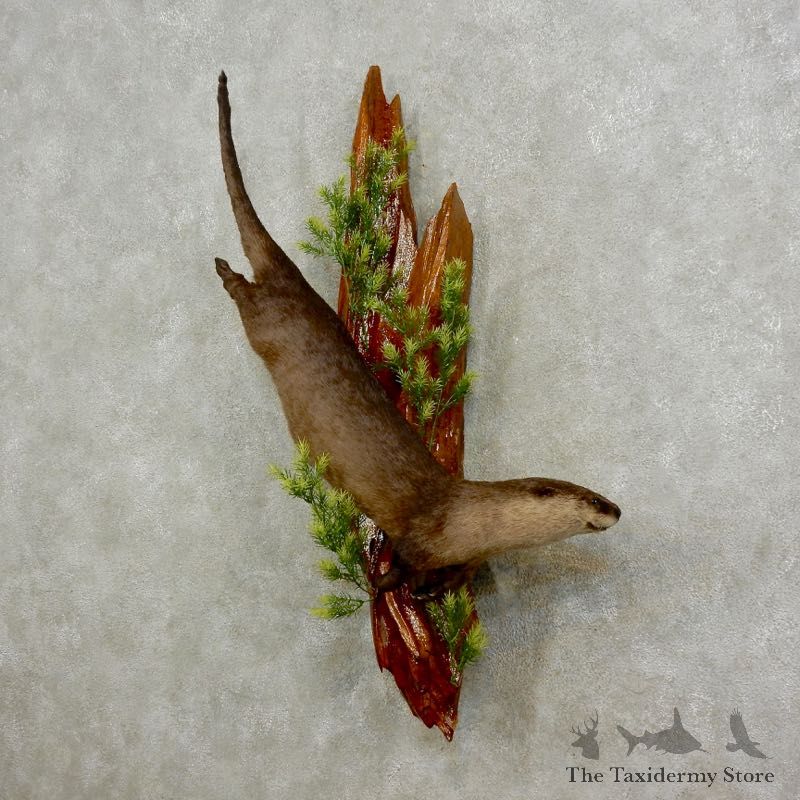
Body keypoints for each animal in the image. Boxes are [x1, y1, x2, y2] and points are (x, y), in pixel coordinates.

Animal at [213, 72, 620, 575]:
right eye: (593, 500)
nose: (617, 509)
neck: (470, 522)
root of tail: (293, 281)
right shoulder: (423, 537)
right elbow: (404, 563)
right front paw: (391, 581)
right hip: (265, 322)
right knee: (246, 297)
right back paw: (224, 271)